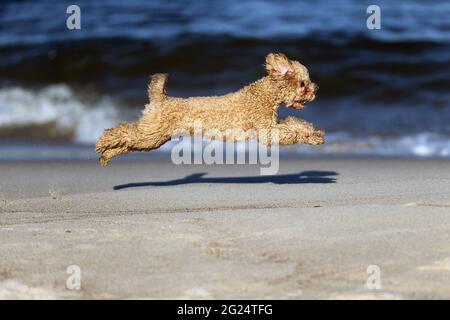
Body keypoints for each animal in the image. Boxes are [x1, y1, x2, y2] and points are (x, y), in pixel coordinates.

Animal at [96, 52, 326, 165]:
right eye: (303, 84)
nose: (316, 89)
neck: (264, 94)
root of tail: (160, 98)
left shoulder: (272, 123)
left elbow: (296, 123)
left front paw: (315, 135)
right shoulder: (266, 130)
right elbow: (291, 131)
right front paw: (309, 135)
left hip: (154, 139)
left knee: (128, 144)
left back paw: (107, 155)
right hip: (151, 133)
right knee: (123, 132)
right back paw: (102, 142)